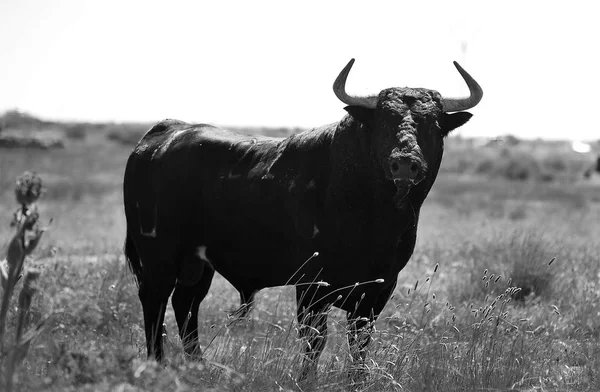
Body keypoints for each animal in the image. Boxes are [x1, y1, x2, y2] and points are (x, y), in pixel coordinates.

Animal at [122, 59, 482, 382]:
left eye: (432, 124)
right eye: (383, 121)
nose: (405, 163)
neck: (373, 215)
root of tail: (160, 134)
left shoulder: (378, 289)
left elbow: (360, 343)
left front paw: (356, 381)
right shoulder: (311, 284)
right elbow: (315, 340)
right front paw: (306, 379)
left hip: (198, 263)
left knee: (186, 303)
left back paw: (199, 366)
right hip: (158, 257)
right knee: (155, 302)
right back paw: (157, 364)